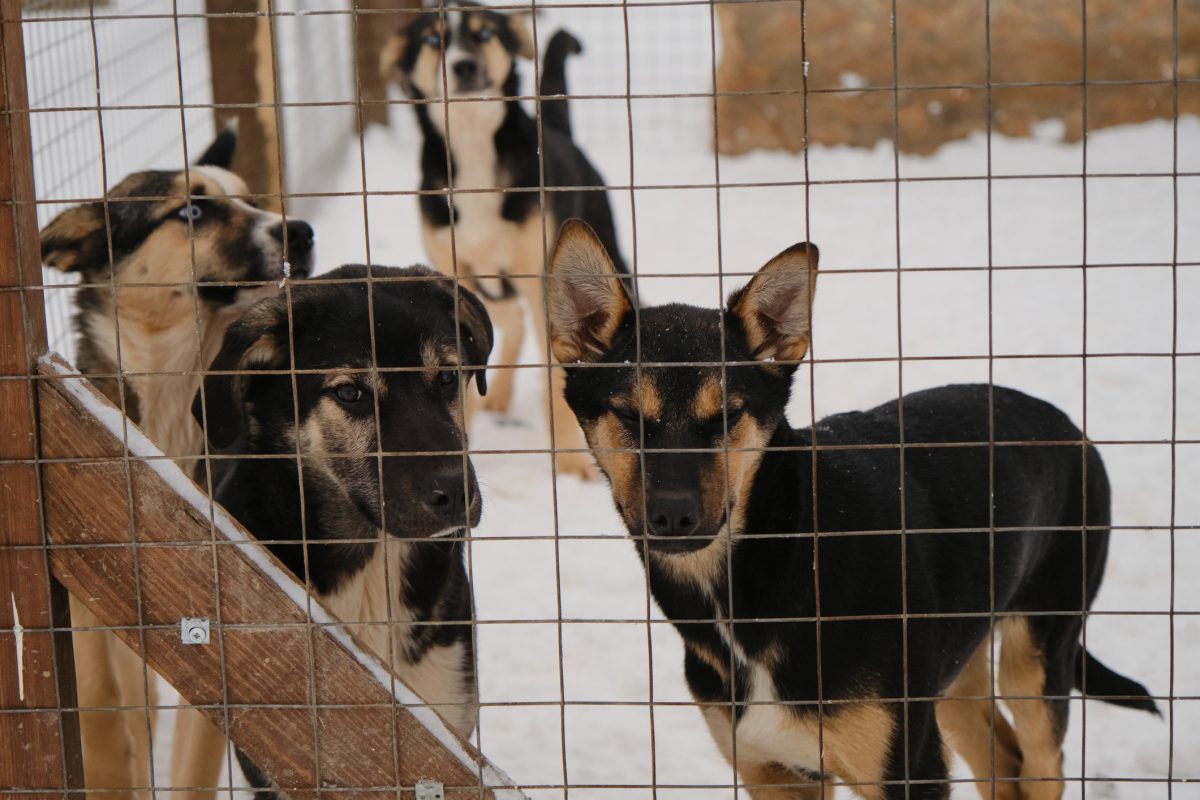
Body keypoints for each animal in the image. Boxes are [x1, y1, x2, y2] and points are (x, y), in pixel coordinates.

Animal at [39, 126, 314, 800]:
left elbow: (194, 763)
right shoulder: (86, 613)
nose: (301, 231)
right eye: (192, 211)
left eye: (250, 199)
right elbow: (104, 717)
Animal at [381, 3, 628, 479]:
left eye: (484, 34)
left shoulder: (545, 282)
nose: (464, 66)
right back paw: (497, 395)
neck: (474, 148)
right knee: (509, 322)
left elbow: (554, 374)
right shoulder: (456, 279)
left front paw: (569, 463)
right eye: (433, 40)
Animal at [549, 220, 1156, 800]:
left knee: (1040, 765)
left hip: (1037, 655)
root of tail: (1067, 425)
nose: (674, 516)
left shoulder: (907, 768)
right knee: (1002, 763)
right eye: (630, 416)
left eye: (725, 416)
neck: (785, 559)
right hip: (952, 671)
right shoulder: (775, 771)